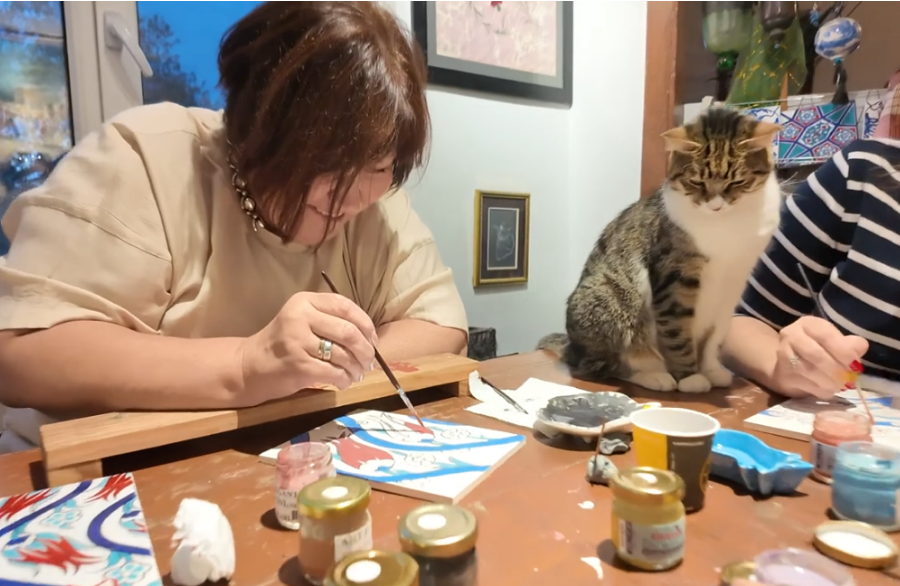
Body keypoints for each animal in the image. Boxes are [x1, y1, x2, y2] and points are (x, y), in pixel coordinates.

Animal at [536, 109, 784, 392]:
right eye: (696, 182)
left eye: (737, 182)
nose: (716, 206)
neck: (726, 228)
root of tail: (573, 347)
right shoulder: (675, 274)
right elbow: (677, 332)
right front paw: (689, 377)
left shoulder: (735, 281)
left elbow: (715, 338)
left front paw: (711, 370)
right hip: (608, 297)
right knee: (599, 366)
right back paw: (654, 375)